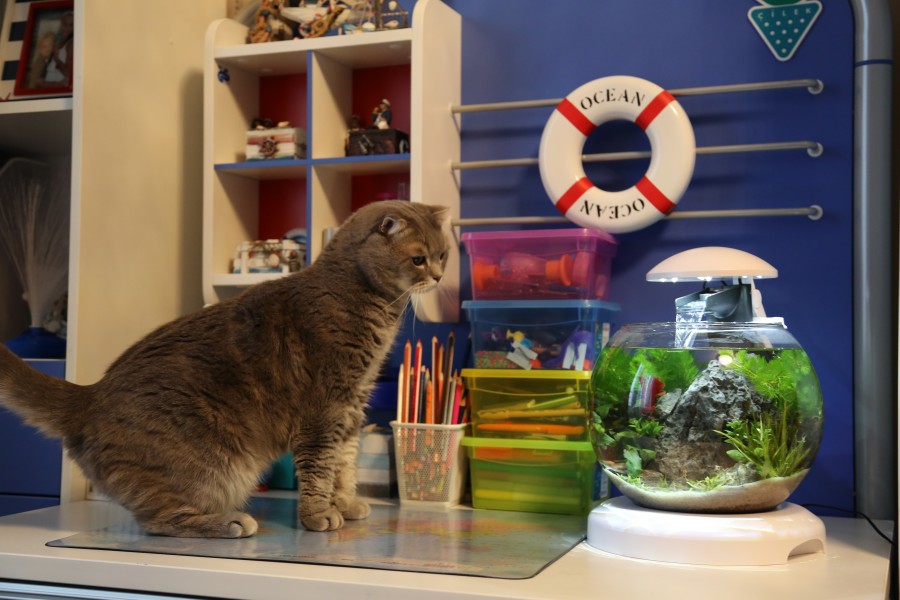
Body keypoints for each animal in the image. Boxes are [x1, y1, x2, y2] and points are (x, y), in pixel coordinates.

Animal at [0, 202, 450, 540]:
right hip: (213, 467)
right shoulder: (324, 411)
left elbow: (345, 464)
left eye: (443, 254)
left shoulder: (352, 407)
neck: (365, 302)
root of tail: (88, 395)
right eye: (418, 259)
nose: (440, 276)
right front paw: (318, 515)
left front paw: (344, 502)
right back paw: (229, 522)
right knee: (159, 520)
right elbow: (321, 466)